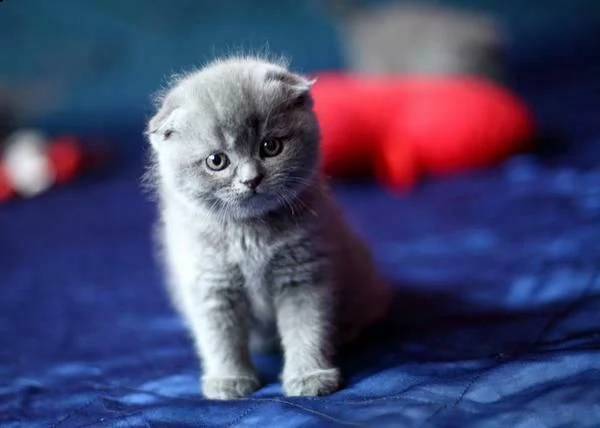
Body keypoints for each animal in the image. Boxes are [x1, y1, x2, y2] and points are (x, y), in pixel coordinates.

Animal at [144, 56, 390, 398]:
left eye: (270, 146)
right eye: (217, 161)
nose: (251, 179)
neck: (249, 235)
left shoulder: (302, 275)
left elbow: (306, 328)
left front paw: (309, 376)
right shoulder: (211, 284)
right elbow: (219, 339)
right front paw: (229, 380)